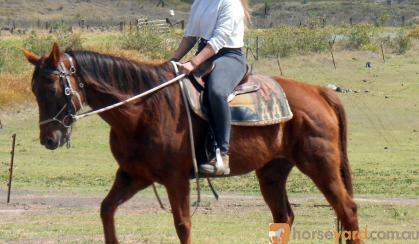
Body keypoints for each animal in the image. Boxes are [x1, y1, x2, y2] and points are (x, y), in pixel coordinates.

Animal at [23, 44, 360, 244]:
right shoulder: (134, 176)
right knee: (284, 217)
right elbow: (107, 210)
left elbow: (182, 225)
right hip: (272, 172)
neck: (144, 108)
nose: (49, 139)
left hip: (320, 164)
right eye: (35, 90)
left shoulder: (176, 180)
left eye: (53, 87)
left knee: (347, 209)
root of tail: (318, 91)